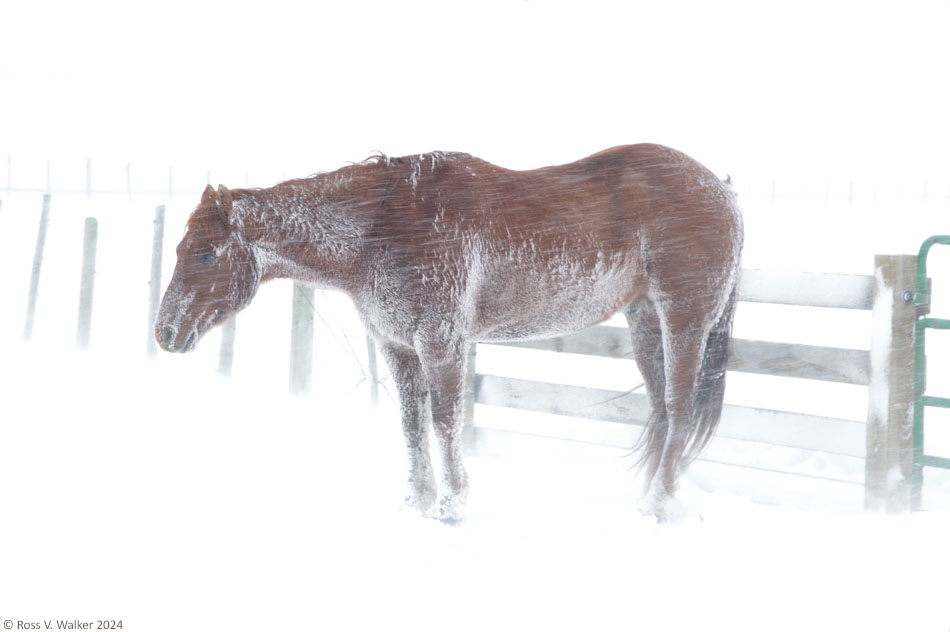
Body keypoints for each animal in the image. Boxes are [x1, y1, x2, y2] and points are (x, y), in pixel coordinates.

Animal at [156, 144, 744, 524]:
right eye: (182, 248)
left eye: (206, 254)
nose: (164, 332)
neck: (384, 227)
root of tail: (723, 189)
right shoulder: (397, 347)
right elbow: (411, 424)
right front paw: (417, 501)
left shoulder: (440, 343)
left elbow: (443, 421)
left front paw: (451, 505)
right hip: (645, 320)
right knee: (663, 410)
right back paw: (645, 499)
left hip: (684, 319)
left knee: (680, 407)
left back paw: (658, 504)